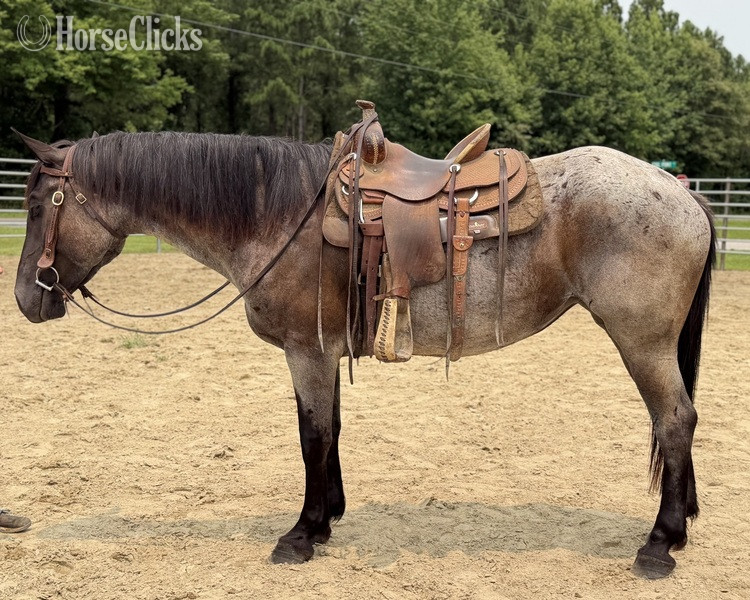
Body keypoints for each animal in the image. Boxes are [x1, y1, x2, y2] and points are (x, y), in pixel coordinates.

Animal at [13, 130, 715, 579]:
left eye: (36, 204)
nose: (26, 298)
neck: (278, 215)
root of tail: (679, 190)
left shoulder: (307, 351)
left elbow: (312, 435)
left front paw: (301, 534)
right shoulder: (324, 353)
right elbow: (332, 428)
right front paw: (328, 517)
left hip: (643, 341)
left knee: (675, 420)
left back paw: (659, 545)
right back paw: (678, 528)